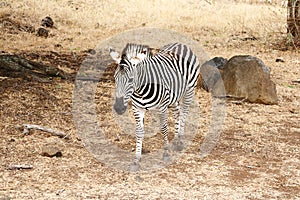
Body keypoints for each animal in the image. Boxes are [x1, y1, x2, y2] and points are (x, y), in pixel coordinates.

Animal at [109, 42, 200, 170]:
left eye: (131, 80)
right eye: (115, 78)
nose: (118, 108)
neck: (140, 91)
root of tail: (180, 44)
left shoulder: (162, 107)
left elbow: (164, 129)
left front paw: (166, 153)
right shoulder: (137, 108)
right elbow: (139, 131)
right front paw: (137, 159)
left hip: (189, 90)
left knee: (184, 114)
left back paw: (180, 141)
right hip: (173, 97)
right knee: (177, 112)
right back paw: (176, 139)